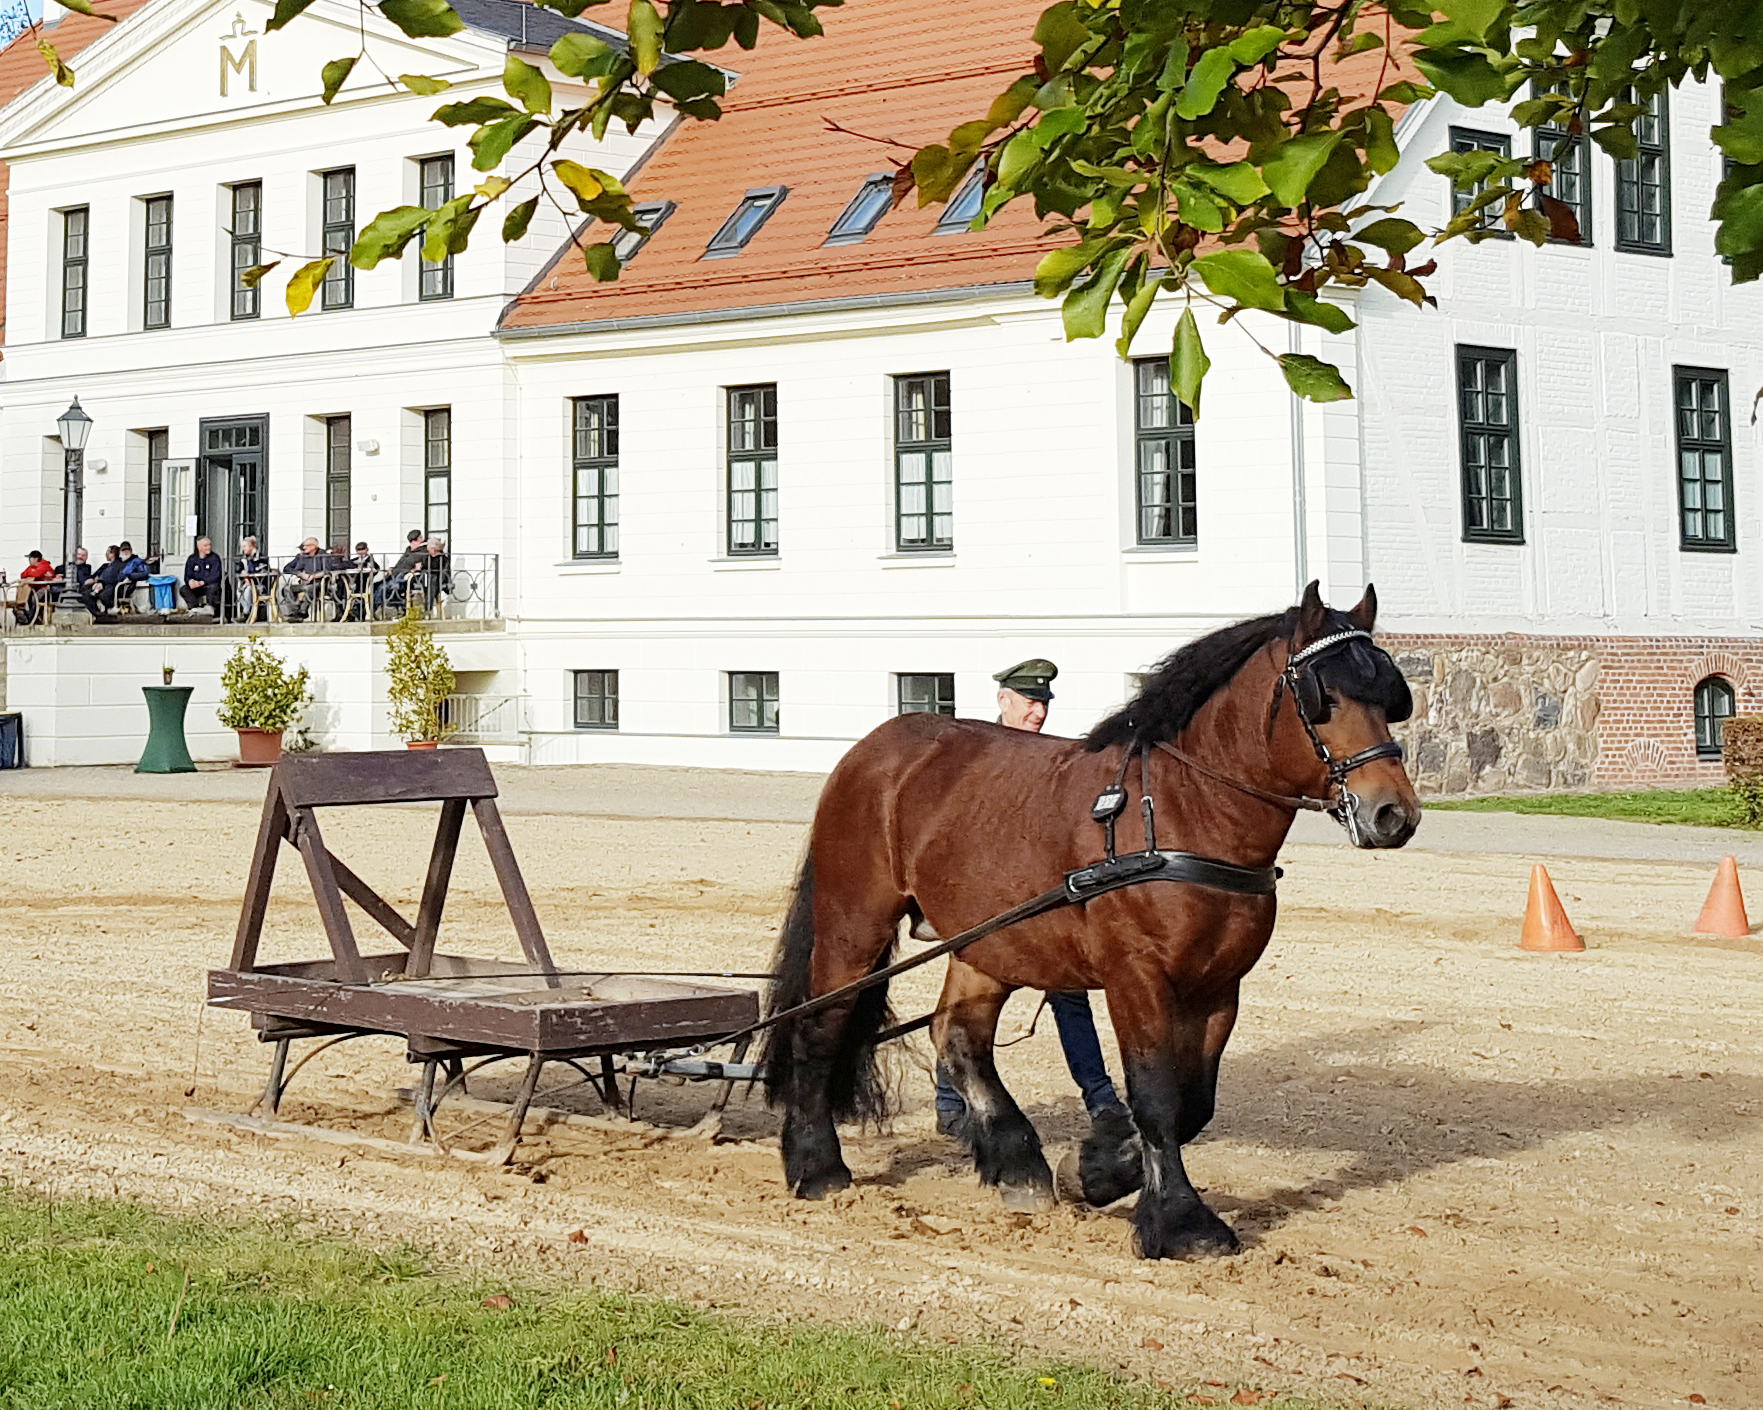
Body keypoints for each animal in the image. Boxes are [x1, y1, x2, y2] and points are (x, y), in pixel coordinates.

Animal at [758, 578, 1417, 1261]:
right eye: (1325, 699)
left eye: (1389, 698)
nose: (1394, 813)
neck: (1182, 811)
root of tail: (874, 749)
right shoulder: (1137, 980)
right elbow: (1156, 1097)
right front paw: (1179, 1222)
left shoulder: (1219, 986)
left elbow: (1193, 1104)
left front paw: (1097, 1171)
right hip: (854, 921)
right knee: (819, 1026)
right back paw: (817, 1166)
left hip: (991, 942)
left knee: (959, 1036)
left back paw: (1016, 1162)